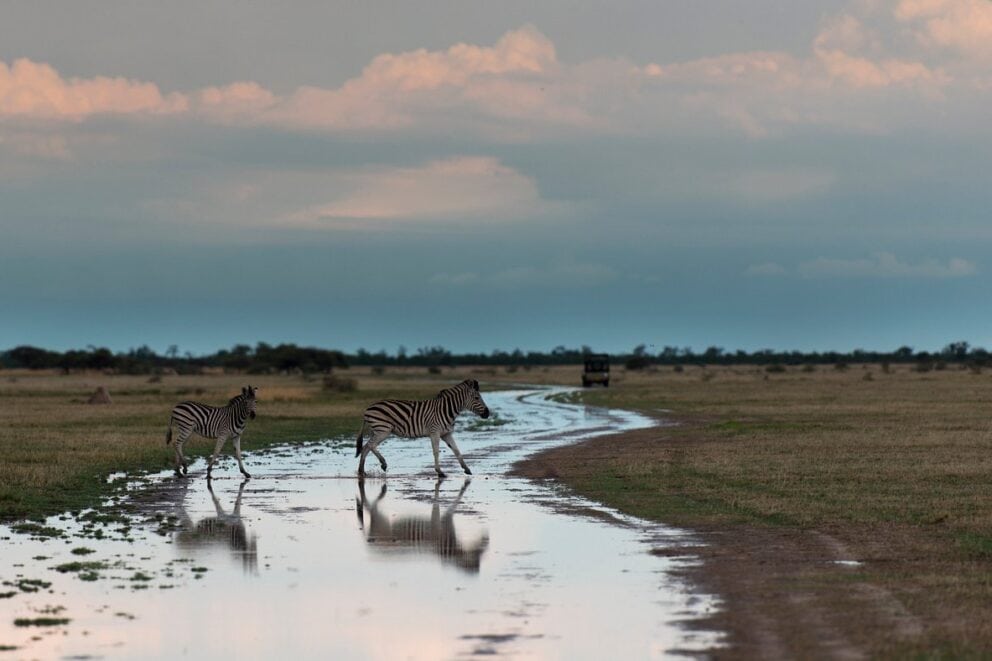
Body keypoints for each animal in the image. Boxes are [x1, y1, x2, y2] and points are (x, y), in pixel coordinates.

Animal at [355, 379, 490, 478]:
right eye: (477, 398)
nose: (487, 413)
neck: (446, 410)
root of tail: (368, 409)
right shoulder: (435, 432)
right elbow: (436, 451)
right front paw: (440, 472)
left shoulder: (446, 433)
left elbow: (456, 450)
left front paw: (467, 469)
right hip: (383, 430)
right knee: (371, 445)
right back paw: (383, 463)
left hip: (377, 430)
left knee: (366, 447)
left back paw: (362, 471)